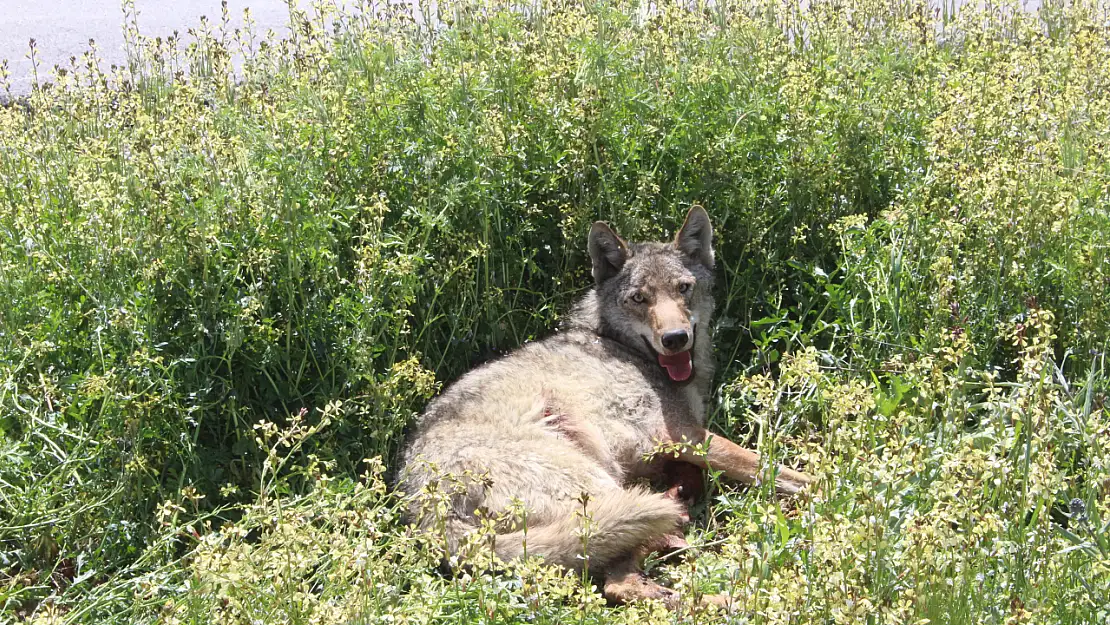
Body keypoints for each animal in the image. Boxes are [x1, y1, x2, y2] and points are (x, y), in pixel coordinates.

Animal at [395, 207, 812, 608]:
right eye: (639, 298)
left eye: (684, 289)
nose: (675, 339)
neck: (627, 349)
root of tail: (426, 512)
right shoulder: (682, 435)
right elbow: (772, 468)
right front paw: (825, 487)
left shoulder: (672, 449)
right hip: (600, 482)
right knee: (618, 584)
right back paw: (735, 598)